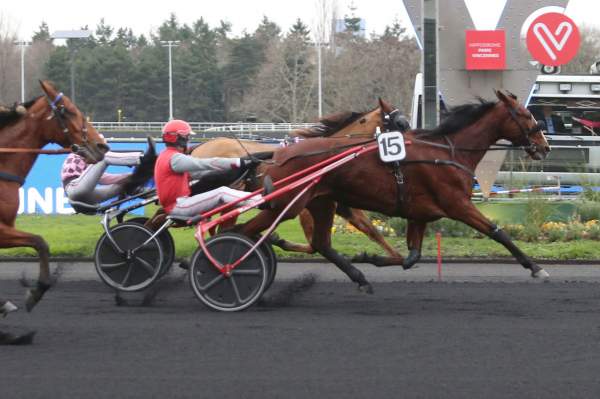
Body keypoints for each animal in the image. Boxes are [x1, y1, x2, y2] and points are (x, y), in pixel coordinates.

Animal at [189, 99, 408, 266]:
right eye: (400, 124)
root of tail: (198, 147)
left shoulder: (342, 205)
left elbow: (373, 232)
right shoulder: (306, 204)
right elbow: (313, 244)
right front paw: (276, 239)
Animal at [238, 89, 552, 292]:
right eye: (525, 114)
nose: (545, 146)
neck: (447, 152)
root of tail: (276, 155)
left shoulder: (421, 214)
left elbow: (411, 257)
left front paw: (370, 257)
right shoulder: (457, 204)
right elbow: (498, 232)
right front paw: (535, 267)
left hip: (320, 203)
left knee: (321, 243)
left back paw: (359, 277)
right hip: (288, 204)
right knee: (242, 232)